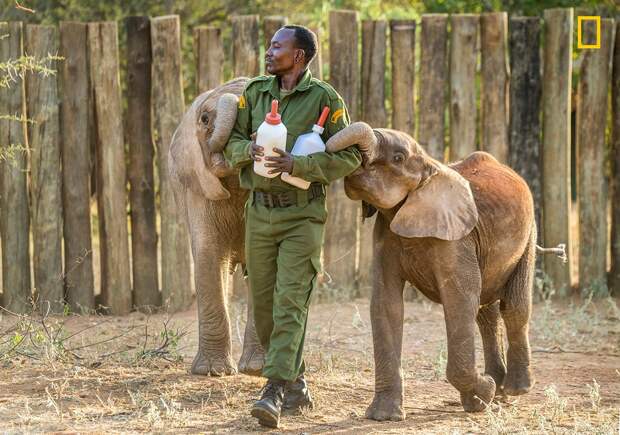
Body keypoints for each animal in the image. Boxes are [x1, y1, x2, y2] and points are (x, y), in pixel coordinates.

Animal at [324, 122, 536, 418]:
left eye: (398, 157)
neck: (428, 167)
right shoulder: (386, 233)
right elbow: (386, 304)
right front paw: (383, 417)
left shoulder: (456, 238)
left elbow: (460, 302)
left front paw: (482, 395)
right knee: (486, 313)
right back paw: (500, 391)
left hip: (529, 233)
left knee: (514, 306)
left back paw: (515, 390)